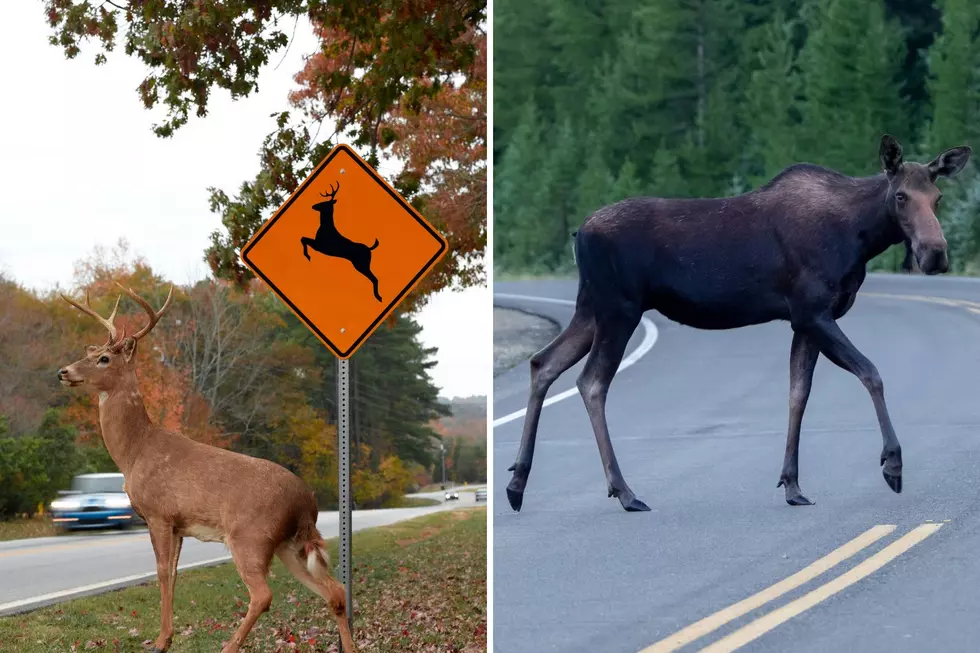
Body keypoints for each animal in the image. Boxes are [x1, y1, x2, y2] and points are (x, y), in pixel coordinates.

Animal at [57, 283, 356, 653]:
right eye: (93, 351)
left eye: (104, 358)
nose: (64, 372)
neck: (135, 451)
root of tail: (307, 503)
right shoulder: (179, 525)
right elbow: (172, 573)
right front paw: (167, 637)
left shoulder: (159, 514)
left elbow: (162, 572)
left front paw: (160, 641)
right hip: (289, 543)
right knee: (335, 591)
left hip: (250, 536)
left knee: (264, 595)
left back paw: (228, 646)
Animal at [505, 134, 972, 513]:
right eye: (901, 196)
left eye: (938, 197)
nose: (935, 253)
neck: (860, 236)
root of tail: (578, 234)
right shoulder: (812, 311)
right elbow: (871, 372)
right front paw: (892, 464)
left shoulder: (804, 321)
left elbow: (798, 394)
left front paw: (792, 484)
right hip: (618, 309)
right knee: (591, 382)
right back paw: (624, 491)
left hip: (591, 308)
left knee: (544, 362)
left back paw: (517, 483)